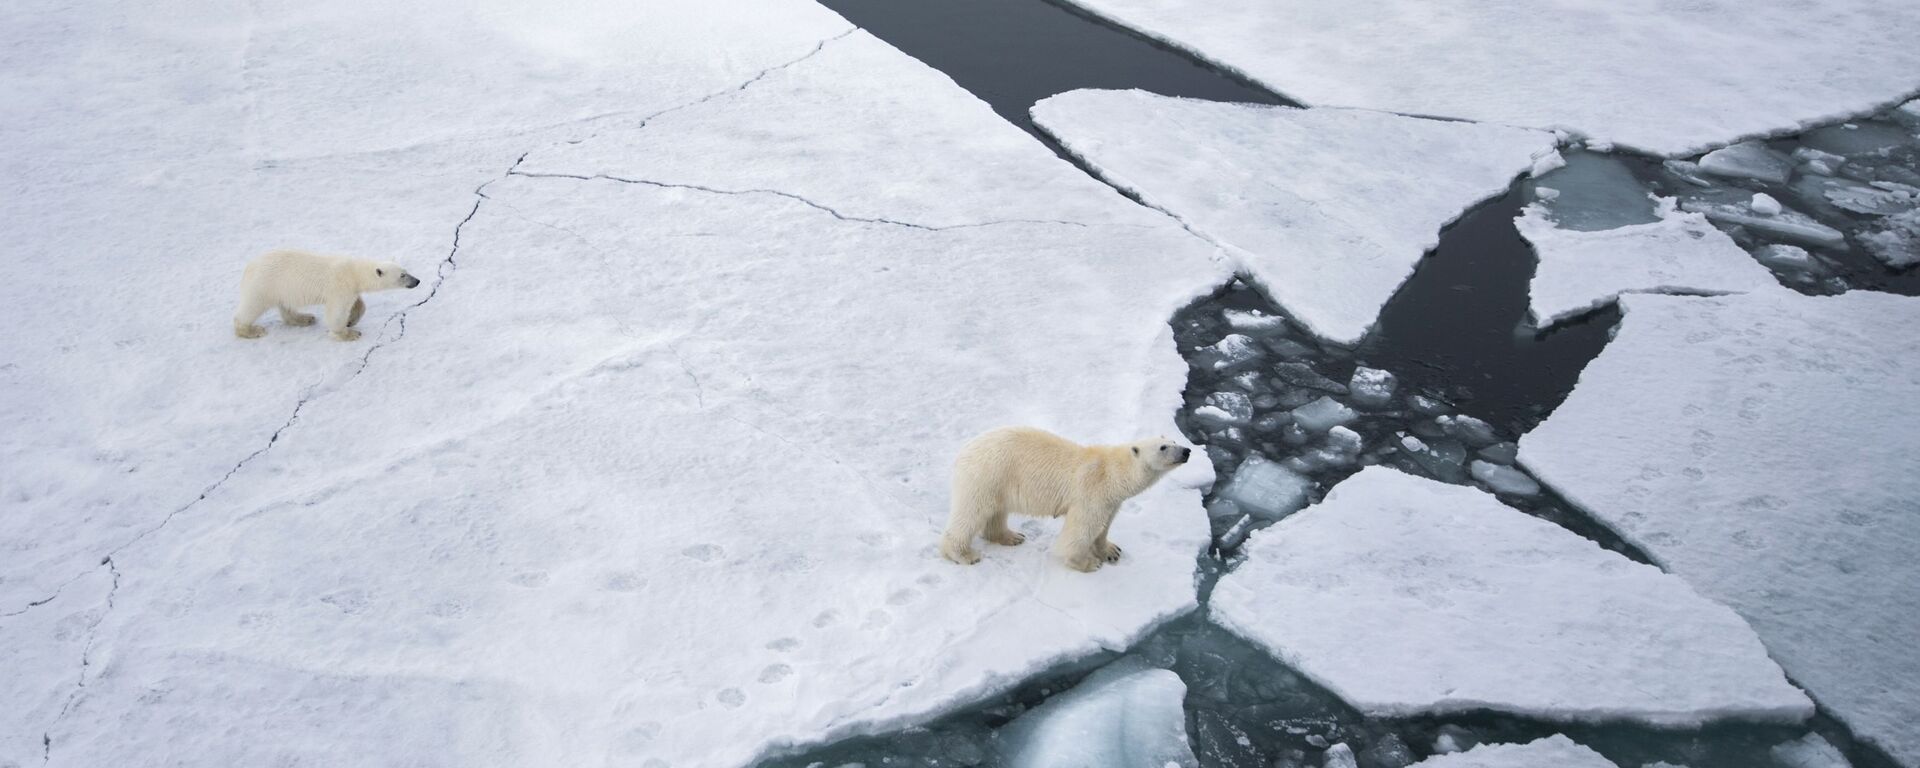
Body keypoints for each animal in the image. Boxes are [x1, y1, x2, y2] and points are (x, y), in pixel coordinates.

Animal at [233, 249, 420, 339]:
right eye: (402, 275)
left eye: (406, 270)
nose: (417, 281)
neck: (353, 271)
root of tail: (249, 267)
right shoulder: (339, 287)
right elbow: (336, 313)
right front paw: (348, 334)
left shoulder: (350, 288)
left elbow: (359, 304)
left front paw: (351, 320)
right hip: (264, 285)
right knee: (252, 306)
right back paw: (251, 330)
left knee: (287, 307)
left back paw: (304, 318)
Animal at [940, 426, 1190, 568]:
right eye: (1163, 447)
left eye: (1175, 441)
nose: (1186, 451)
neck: (1112, 472)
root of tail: (964, 450)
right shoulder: (1091, 493)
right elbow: (1081, 529)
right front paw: (1088, 563)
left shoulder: (1111, 501)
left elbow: (1104, 526)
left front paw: (1111, 551)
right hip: (987, 475)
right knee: (972, 512)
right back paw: (964, 554)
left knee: (996, 512)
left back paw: (1012, 536)